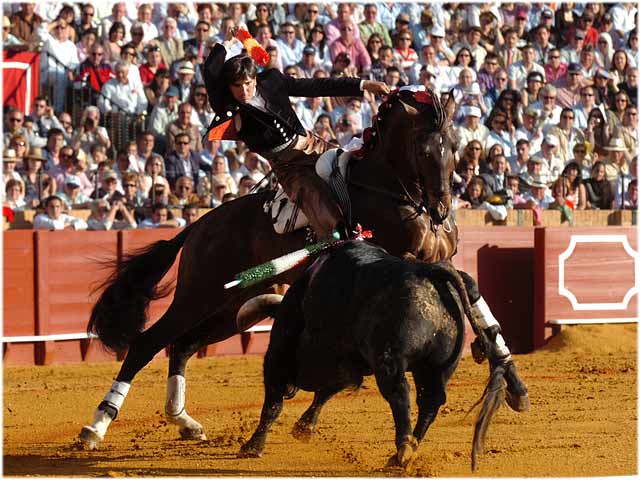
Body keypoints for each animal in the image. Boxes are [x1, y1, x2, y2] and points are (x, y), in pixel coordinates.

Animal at [79, 87, 460, 450]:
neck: (390, 190)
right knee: (147, 343)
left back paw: (184, 421)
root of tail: (201, 224)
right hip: (197, 296)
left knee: (183, 345)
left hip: (231, 306)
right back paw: (97, 425)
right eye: (423, 150)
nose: (441, 208)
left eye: (453, 147)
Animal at [240, 240, 504, 468]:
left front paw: (252, 446)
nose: (291, 389)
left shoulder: (279, 354)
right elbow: (325, 392)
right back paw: (408, 449)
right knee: (430, 401)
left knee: (400, 393)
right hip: (437, 367)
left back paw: (402, 450)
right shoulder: (349, 366)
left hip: (389, 361)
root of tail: (428, 272)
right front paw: (304, 428)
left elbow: (274, 403)